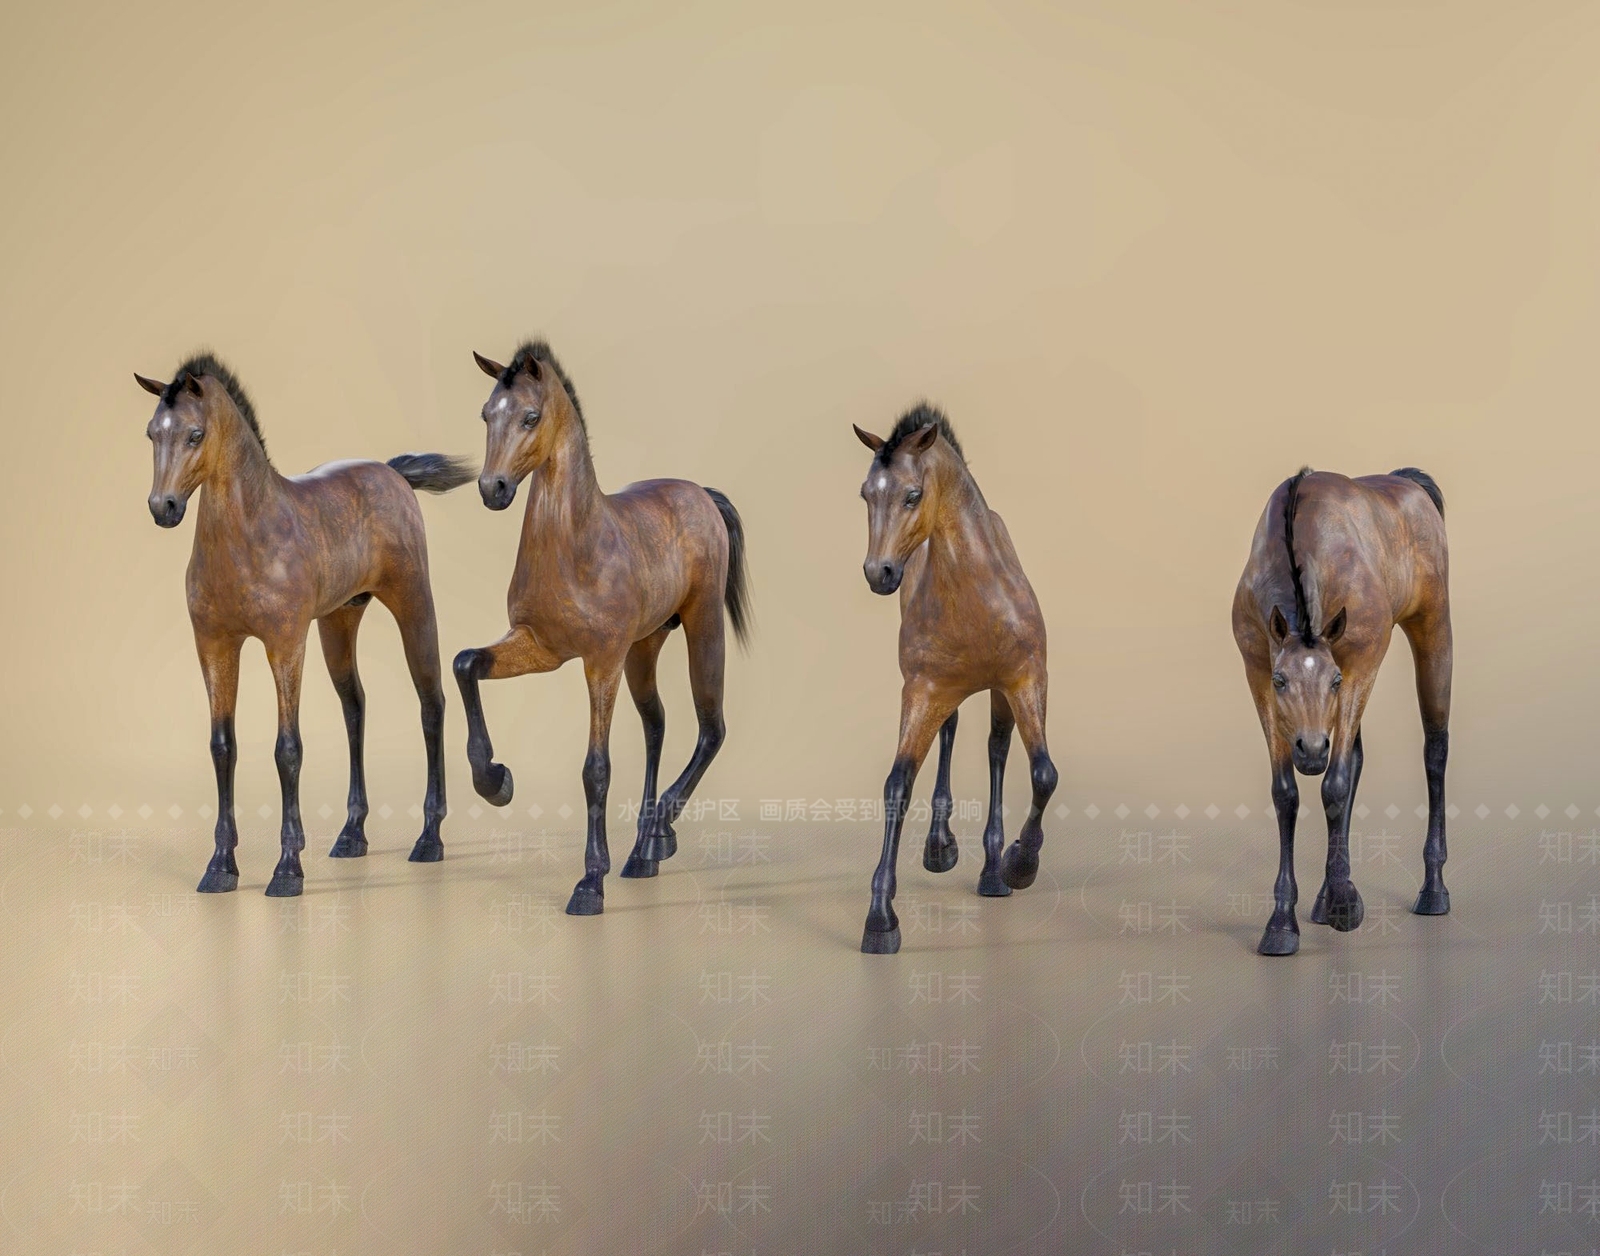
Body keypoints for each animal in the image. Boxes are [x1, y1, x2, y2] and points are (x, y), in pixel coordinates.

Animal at [138, 354, 473, 897]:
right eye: (152, 432)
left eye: (194, 433)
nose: (162, 507)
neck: (249, 535)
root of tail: (390, 472)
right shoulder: (214, 646)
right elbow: (222, 747)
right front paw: (220, 866)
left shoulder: (284, 643)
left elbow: (287, 749)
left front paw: (287, 868)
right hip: (339, 621)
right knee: (355, 707)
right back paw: (351, 834)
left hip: (414, 605)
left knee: (432, 704)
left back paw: (429, 839)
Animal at [452, 341, 750, 917]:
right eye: (484, 414)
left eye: (530, 416)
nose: (492, 488)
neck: (573, 546)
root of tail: (700, 493)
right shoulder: (541, 647)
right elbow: (465, 662)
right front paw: (494, 781)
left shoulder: (600, 661)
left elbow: (596, 768)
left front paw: (590, 882)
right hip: (645, 647)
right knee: (657, 725)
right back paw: (642, 853)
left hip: (701, 628)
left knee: (712, 727)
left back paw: (660, 830)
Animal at [852, 405, 1058, 954]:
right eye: (866, 493)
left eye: (912, 494)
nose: (878, 573)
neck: (976, 593)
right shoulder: (923, 690)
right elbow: (898, 784)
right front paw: (881, 917)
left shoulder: (1026, 679)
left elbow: (1043, 774)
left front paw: (1020, 863)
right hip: (948, 692)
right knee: (952, 733)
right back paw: (941, 845)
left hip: (1000, 694)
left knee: (996, 750)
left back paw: (993, 871)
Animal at [1232, 467, 1452, 956]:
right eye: (1281, 681)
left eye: (1332, 681)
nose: (1311, 749)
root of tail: (1408, 483)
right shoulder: (1256, 671)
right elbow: (1286, 794)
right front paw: (1283, 920)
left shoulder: (1358, 665)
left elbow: (1334, 784)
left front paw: (1345, 906)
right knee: (1355, 758)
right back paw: (1324, 896)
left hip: (1433, 629)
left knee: (1435, 751)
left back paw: (1432, 888)